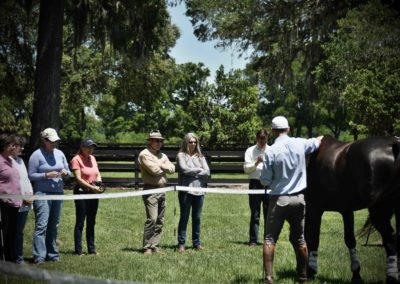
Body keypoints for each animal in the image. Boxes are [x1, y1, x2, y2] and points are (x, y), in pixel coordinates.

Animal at [304, 136, 398, 282]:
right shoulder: (346, 210)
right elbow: (350, 240)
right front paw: (356, 275)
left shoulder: (314, 208)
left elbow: (312, 238)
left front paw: (311, 271)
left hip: (379, 212)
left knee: (390, 241)